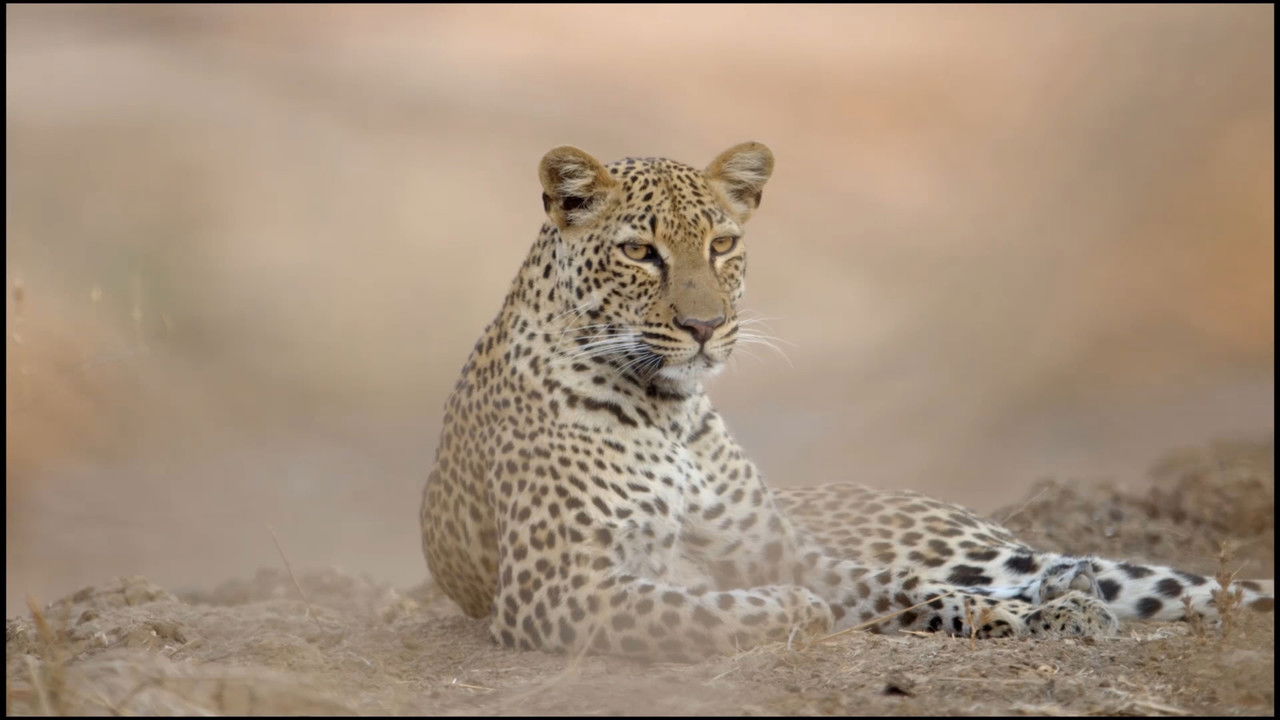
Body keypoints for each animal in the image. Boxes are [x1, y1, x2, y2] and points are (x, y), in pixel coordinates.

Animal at [419, 142, 1274, 660]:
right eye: (639, 251)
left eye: (722, 245)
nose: (705, 327)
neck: (671, 411)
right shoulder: (558, 587)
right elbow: (697, 607)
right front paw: (793, 611)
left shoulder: (781, 547)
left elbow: (893, 588)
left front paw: (999, 616)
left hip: (979, 548)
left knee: (1153, 581)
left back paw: (1066, 596)